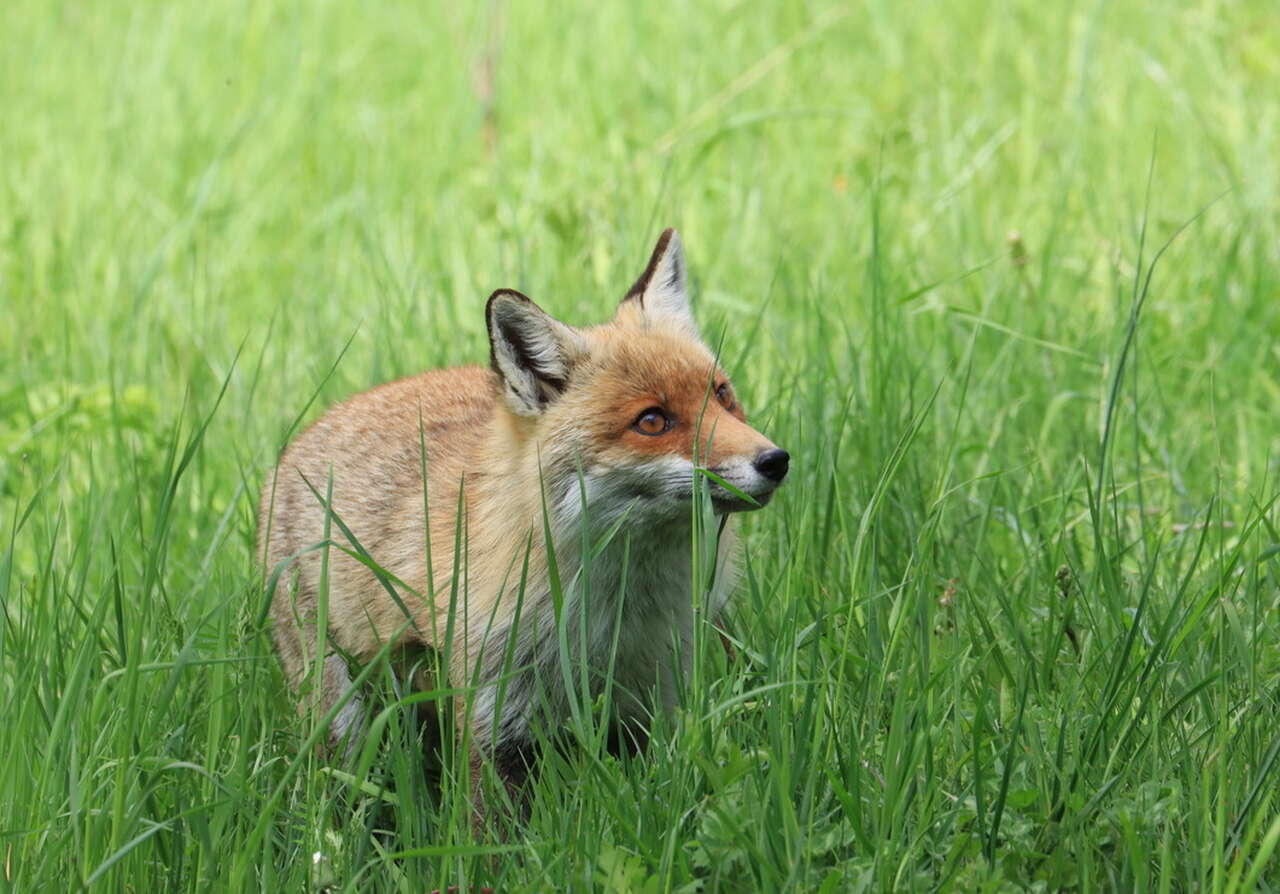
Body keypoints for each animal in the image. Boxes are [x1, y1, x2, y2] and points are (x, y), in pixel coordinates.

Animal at [254, 227, 783, 814]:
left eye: (722, 395)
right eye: (652, 421)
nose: (775, 461)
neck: (613, 613)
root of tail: (298, 442)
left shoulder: (658, 695)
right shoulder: (496, 713)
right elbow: (493, 828)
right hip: (337, 709)